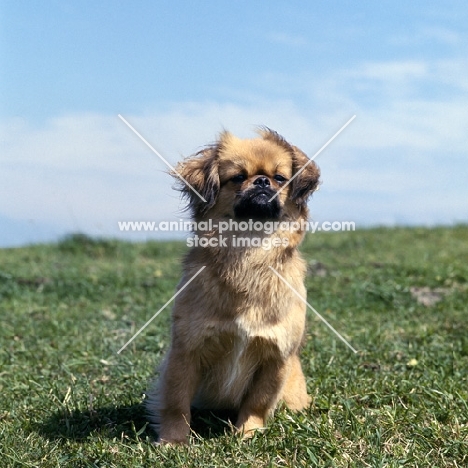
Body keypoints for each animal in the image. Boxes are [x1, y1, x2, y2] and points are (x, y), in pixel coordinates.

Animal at [146, 127, 322, 442]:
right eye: (239, 177)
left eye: (280, 178)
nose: (262, 181)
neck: (248, 252)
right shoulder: (186, 351)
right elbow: (177, 402)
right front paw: (174, 440)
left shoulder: (276, 357)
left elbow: (258, 401)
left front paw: (247, 434)